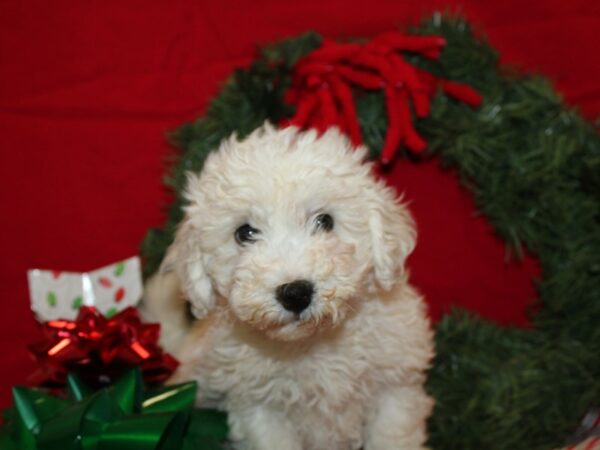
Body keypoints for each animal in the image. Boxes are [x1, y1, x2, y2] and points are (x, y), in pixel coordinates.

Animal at [143, 125, 434, 450]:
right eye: (245, 233)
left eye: (325, 221)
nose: (295, 293)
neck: (314, 342)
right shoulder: (259, 408)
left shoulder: (394, 389)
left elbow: (391, 436)